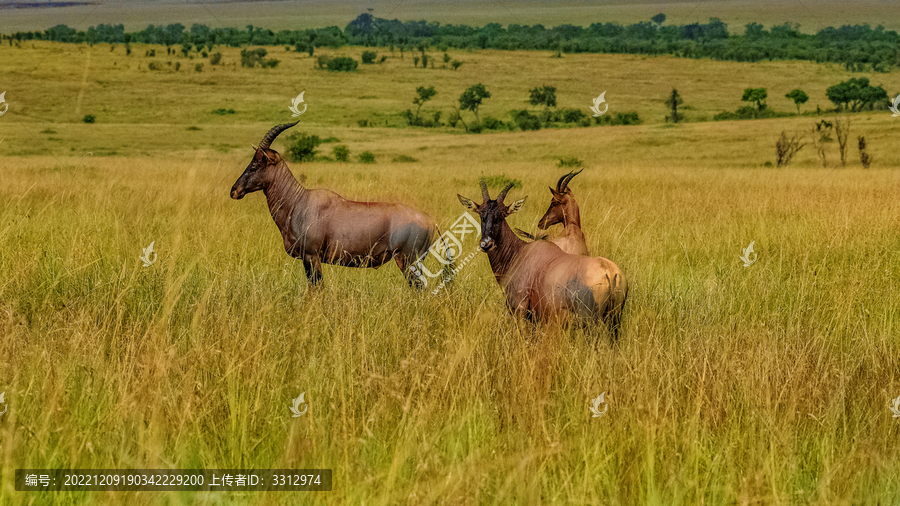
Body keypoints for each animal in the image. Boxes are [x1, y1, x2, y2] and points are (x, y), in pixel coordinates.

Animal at [229, 121, 446, 288]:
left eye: (256, 165)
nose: (234, 191)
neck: (299, 201)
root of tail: (431, 222)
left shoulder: (311, 256)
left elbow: (317, 288)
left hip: (408, 262)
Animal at [458, 181, 624, 336]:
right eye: (481, 213)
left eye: (502, 214)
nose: (486, 244)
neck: (520, 253)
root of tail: (610, 273)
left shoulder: (520, 310)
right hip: (614, 322)